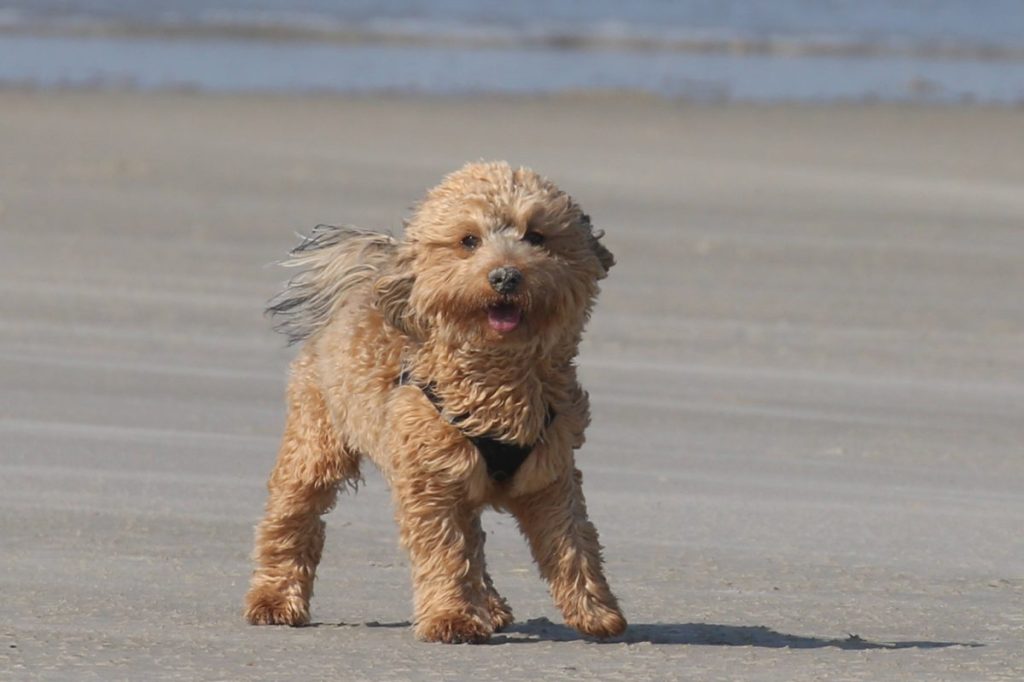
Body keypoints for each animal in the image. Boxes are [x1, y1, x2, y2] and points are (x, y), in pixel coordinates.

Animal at [245, 161, 622, 638]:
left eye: (535, 236)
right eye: (469, 241)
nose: (505, 276)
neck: (496, 379)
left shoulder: (550, 473)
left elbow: (572, 542)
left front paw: (595, 609)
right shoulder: (430, 481)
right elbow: (443, 551)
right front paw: (451, 617)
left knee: (475, 540)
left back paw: (490, 605)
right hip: (315, 442)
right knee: (292, 516)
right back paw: (274, 599)